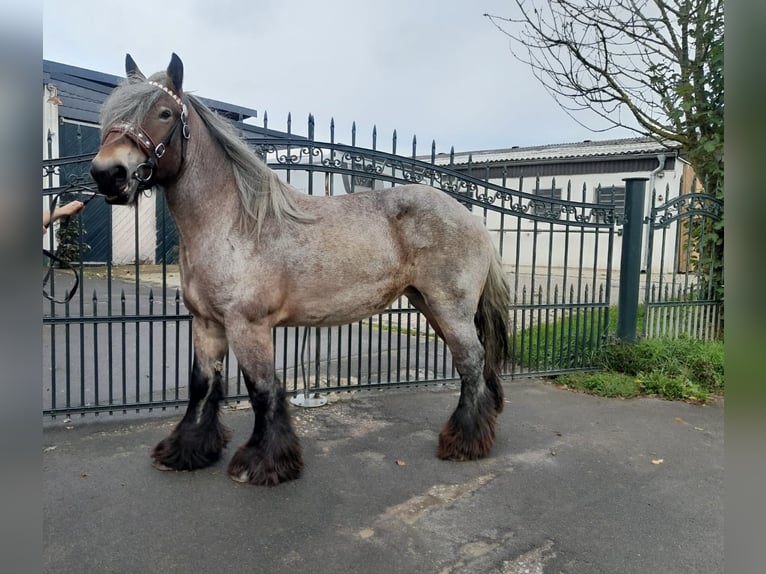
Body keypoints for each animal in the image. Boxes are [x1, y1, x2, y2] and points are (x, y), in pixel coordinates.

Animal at [90, 54, 512, 488]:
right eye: (111, 114)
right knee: (474, 363)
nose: (108, 173)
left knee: (470, 362)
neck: (234, 221)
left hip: (450, 308)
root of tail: (472, 218)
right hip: (430, 305)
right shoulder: (207, 324)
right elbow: (202, 385)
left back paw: (464, 442)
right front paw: (186, 451)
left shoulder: (248, 326)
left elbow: (262, 390)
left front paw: (263, 462)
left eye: (164, 112)